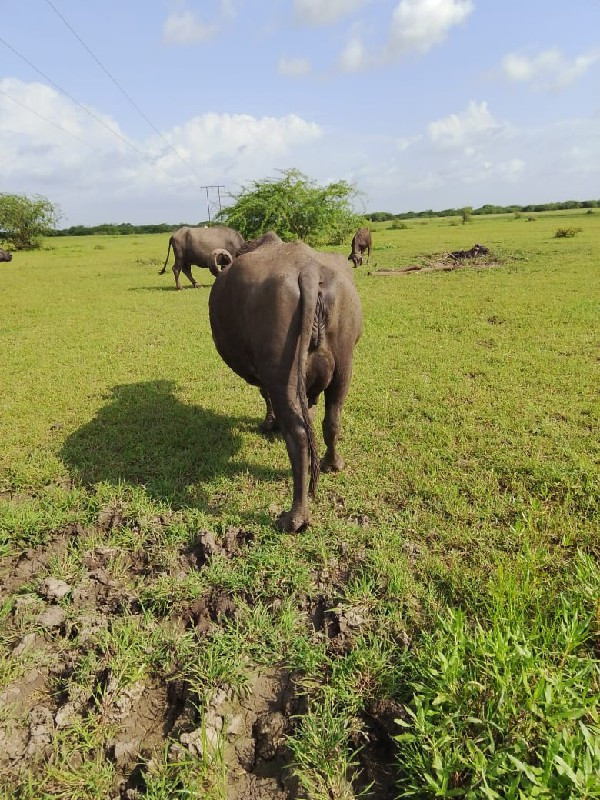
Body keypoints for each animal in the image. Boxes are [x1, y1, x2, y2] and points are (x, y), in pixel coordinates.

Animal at [209, 231, 364, 532]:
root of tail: (308, 271)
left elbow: (265, 397)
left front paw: (269, 424)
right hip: (344, 363)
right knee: (332, 418)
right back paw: (332, 463)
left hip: (282, 370)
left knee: (299, 436)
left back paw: (295, 518)